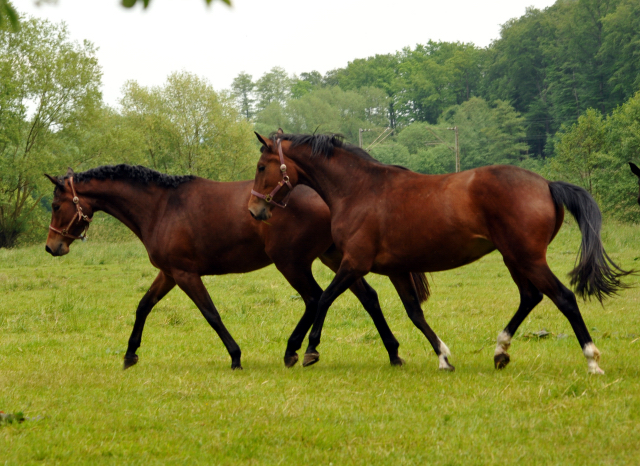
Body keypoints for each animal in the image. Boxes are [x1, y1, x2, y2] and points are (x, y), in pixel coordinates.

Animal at [47, 165, 422, 372]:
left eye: (55, 205)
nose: (52, 247)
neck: (161, 206)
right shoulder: (168, 273)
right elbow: (143, 307)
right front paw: (129, 354)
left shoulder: (185, 274)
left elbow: (211, 314)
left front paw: (236, 356)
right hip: (333, 256)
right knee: (367, 297)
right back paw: (393, 352)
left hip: (292, 263)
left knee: (316, 299)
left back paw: (295, 350)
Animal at [249, 132, 632, 374]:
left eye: (261, 167)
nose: (255, 210)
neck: (360, 190)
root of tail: (547, 184)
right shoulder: (396, 269)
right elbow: (415, 314)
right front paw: (444, 358)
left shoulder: (353, 263)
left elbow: (325, 298)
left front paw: (309, 350)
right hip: (514, 258)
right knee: (530, 297)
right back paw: (500, 351)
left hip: (528, 258)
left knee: (563, 298)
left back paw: (592, 360)